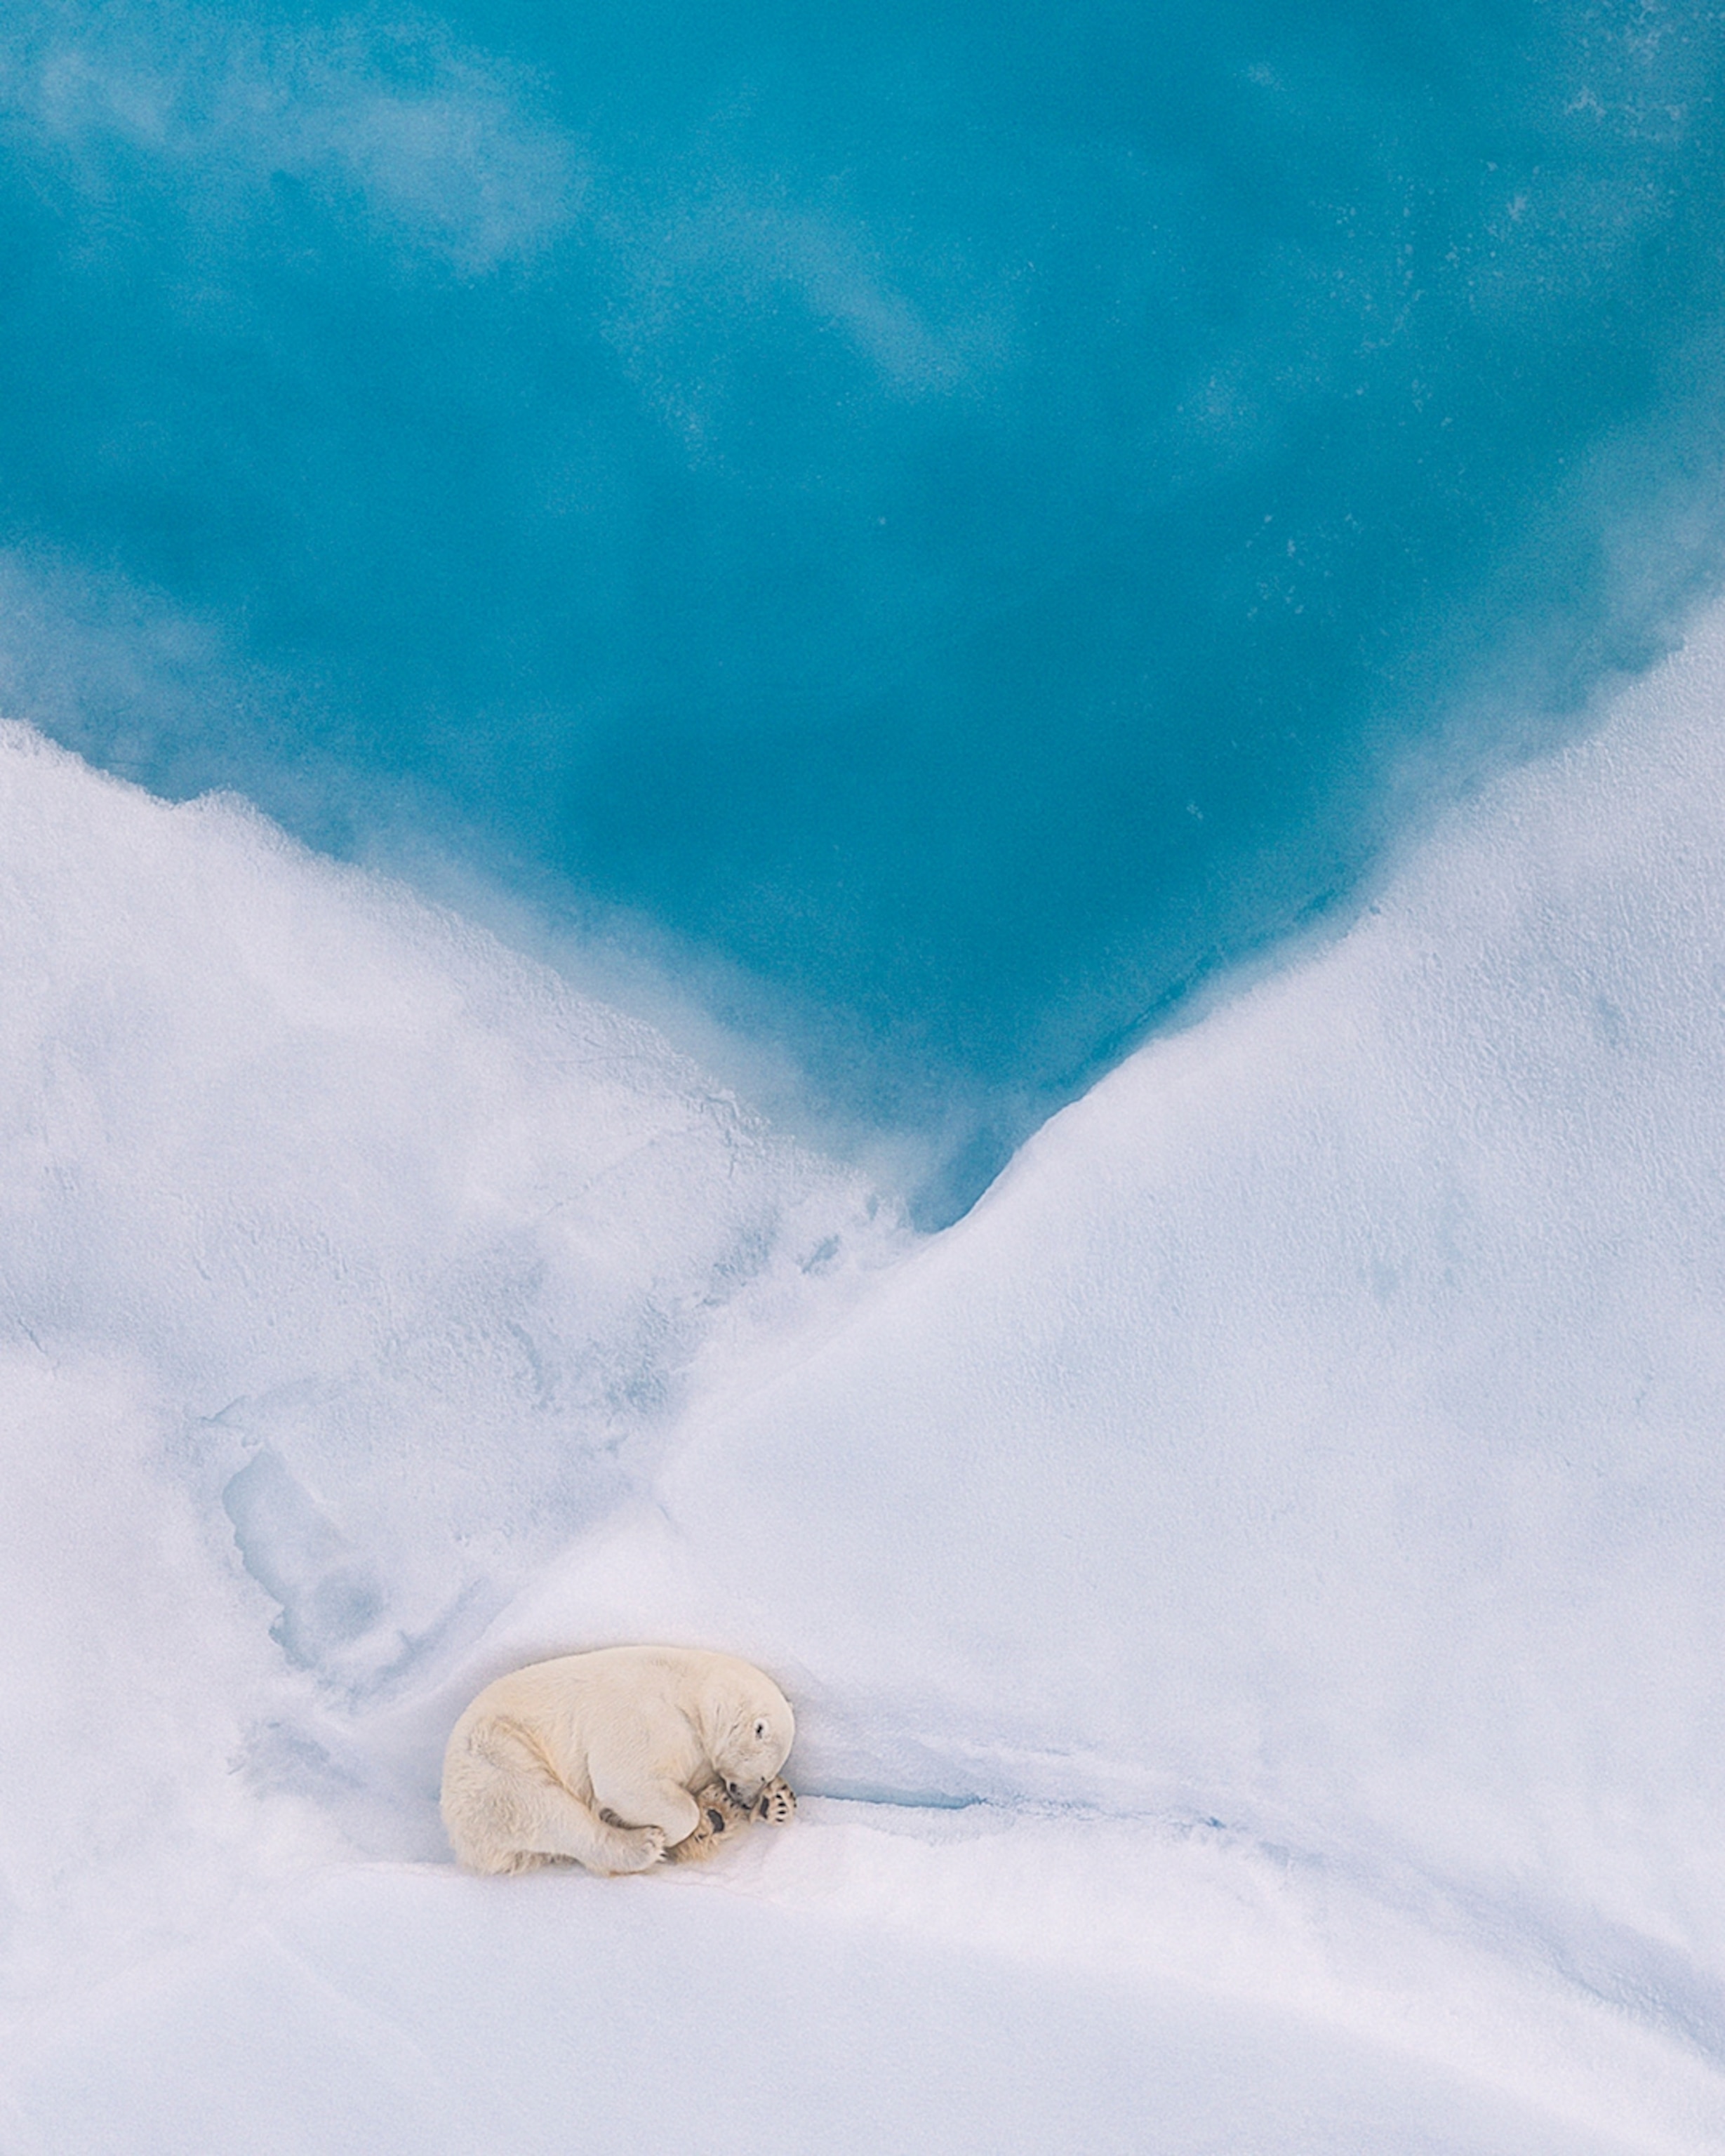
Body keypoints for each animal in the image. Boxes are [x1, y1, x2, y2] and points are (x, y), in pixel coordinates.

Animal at [440, 1644, 797, 1876]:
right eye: (762, 1774)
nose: (746, 1799)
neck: (693, 1692)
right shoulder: (645, 1716)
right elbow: (625, 1782)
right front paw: (679, 1828)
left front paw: (776, 1801)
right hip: (497, 1757)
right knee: (544, 1805)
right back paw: (644, 1844)